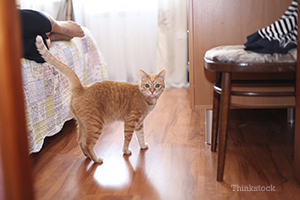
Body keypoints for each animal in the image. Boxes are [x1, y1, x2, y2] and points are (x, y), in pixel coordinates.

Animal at [36, 36, 166, 163]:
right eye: (147, 85)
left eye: (157, 85)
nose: (152, 91)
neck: (146, 99)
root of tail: (82, 88)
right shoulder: (130, 122)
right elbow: (128, 139)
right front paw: (126, 151)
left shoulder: (139, 123)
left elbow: (141, 136)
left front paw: (143, 145)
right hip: (95, 124)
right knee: (88, 144)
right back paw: (96, 159)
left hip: (82, 124)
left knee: (80, 141)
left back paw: (88, 156)